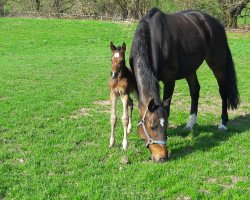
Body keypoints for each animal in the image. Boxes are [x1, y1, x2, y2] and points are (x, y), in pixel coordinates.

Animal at [130, 8, 239, 163]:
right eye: (152, 126)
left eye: (163, 125)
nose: (162, 157)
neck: (152, 39)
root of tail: (215, 22)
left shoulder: (169, 80)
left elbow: (167, 109)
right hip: (190, 69)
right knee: (195, 90)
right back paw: (191, 123)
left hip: (217, 63)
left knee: (223, 91)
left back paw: (223, 123)